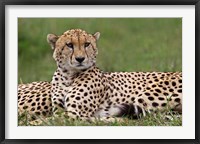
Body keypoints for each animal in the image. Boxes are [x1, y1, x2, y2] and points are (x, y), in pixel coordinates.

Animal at [18, 28, 182, 123]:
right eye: (69, 45)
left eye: (87, 44)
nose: (80, 59)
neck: (69, 76)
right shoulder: (60, 110)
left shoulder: (74, 113)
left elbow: (43, 121)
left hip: (145, 97)